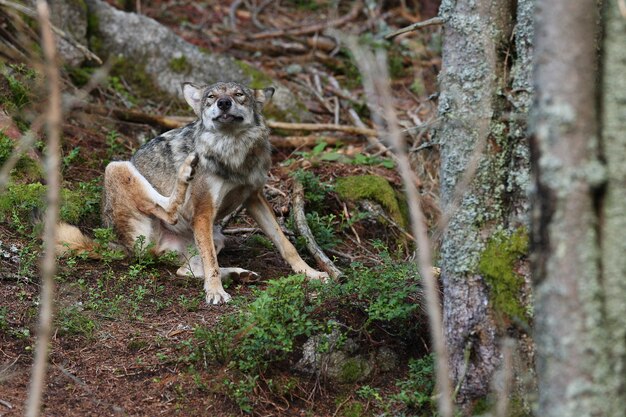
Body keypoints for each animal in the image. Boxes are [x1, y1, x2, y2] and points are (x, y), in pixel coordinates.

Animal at [59, 80, 326, 302]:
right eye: (211, 97)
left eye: (238, 94)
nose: (223, 102)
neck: (232, 153)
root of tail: (121, 245)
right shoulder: (204, 212)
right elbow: (211, 263)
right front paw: (216, 293)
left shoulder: (253, 197)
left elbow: (285, 244)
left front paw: (310, 272)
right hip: (116, 167)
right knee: (172, 215)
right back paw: (186, 170)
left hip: (216, 237)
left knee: (186, 269)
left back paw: (239, 274)